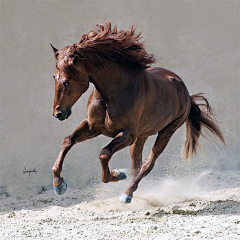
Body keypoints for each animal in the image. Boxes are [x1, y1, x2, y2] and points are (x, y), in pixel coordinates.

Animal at [49, 22, 224, 202]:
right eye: (54, 77)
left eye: (67, 82)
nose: (58, 113)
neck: (114, 91)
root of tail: (186, 93)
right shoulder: (93, 127)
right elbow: (67, 141)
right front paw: (59, 185)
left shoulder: (127, 134)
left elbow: (104, 154)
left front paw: (117, 174)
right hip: (142, 136)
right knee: (137, 164)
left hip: (166, 131)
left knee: (148, 164)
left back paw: (127, 194)